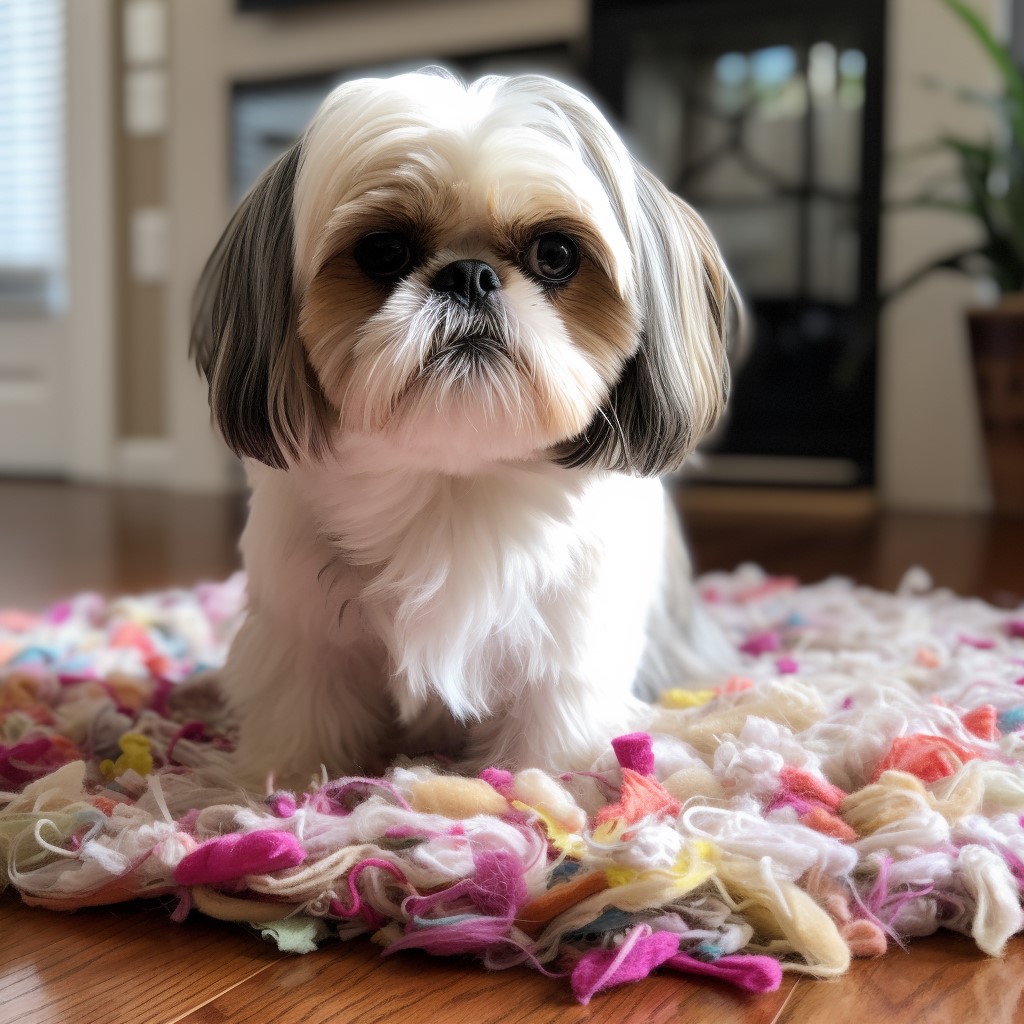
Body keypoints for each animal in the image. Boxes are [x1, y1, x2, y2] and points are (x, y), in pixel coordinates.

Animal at [190, 72, 737, 790]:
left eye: (555, 254)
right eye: (383, 251)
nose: (469, 274)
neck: (453, 479)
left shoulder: (568, 651)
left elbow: (550, 735)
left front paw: (545, 789)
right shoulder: (304, 632)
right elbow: (303, 714)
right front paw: (282, 786)